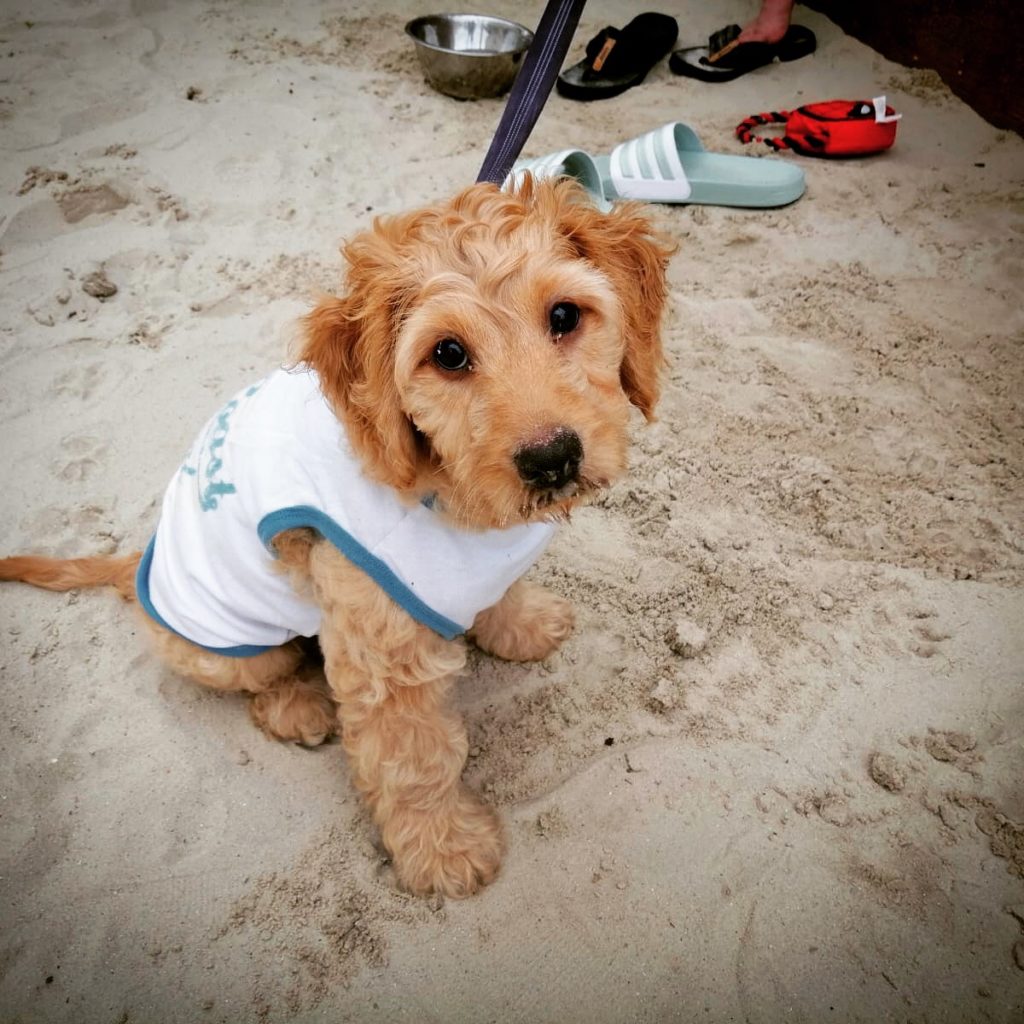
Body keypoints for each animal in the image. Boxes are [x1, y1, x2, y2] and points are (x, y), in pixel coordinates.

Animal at [2, 180, 671, 901]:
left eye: (565, 314)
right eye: (448, 354)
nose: (551, 459)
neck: (444, 489)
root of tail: (138, 568)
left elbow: (501, 591)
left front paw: (523, 624)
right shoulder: (383, 652)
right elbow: (413, 760)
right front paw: (443, 852)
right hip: (225, 645)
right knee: (260, 678)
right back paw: (297, 707)